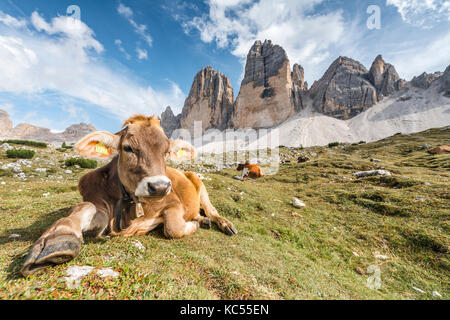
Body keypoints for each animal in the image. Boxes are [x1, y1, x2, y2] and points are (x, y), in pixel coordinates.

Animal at [20, 115, 239, 278]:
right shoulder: (100, 207)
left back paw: (222, 224)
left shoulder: (173, 203)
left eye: (166, 152)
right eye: (128, 148)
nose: (159, 187)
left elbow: (172, 228)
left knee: (212, 210)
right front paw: (59, 237)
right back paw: (202, 220)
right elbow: (85, 209)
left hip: (200, 183)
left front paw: (191, 225)